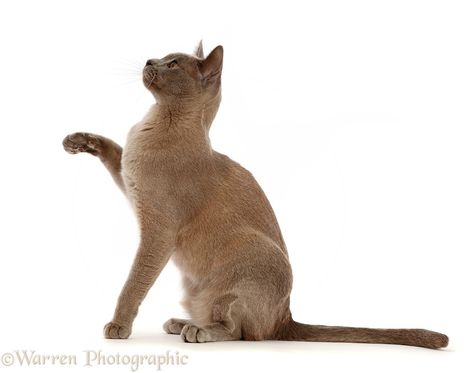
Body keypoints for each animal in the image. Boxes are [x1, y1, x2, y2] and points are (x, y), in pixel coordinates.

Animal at [61, 42, 446, 348]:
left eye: (173, 64)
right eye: (163, 57)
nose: (149, 60)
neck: (156, 123)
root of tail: (286, 319)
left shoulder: (157, 230)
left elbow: (133, 282)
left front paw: (118, 326)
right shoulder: (130, 184)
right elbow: (112, 149)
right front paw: (77, 141)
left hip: (247, 261)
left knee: (239, 330)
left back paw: (197, 331)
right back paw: (183, 322)